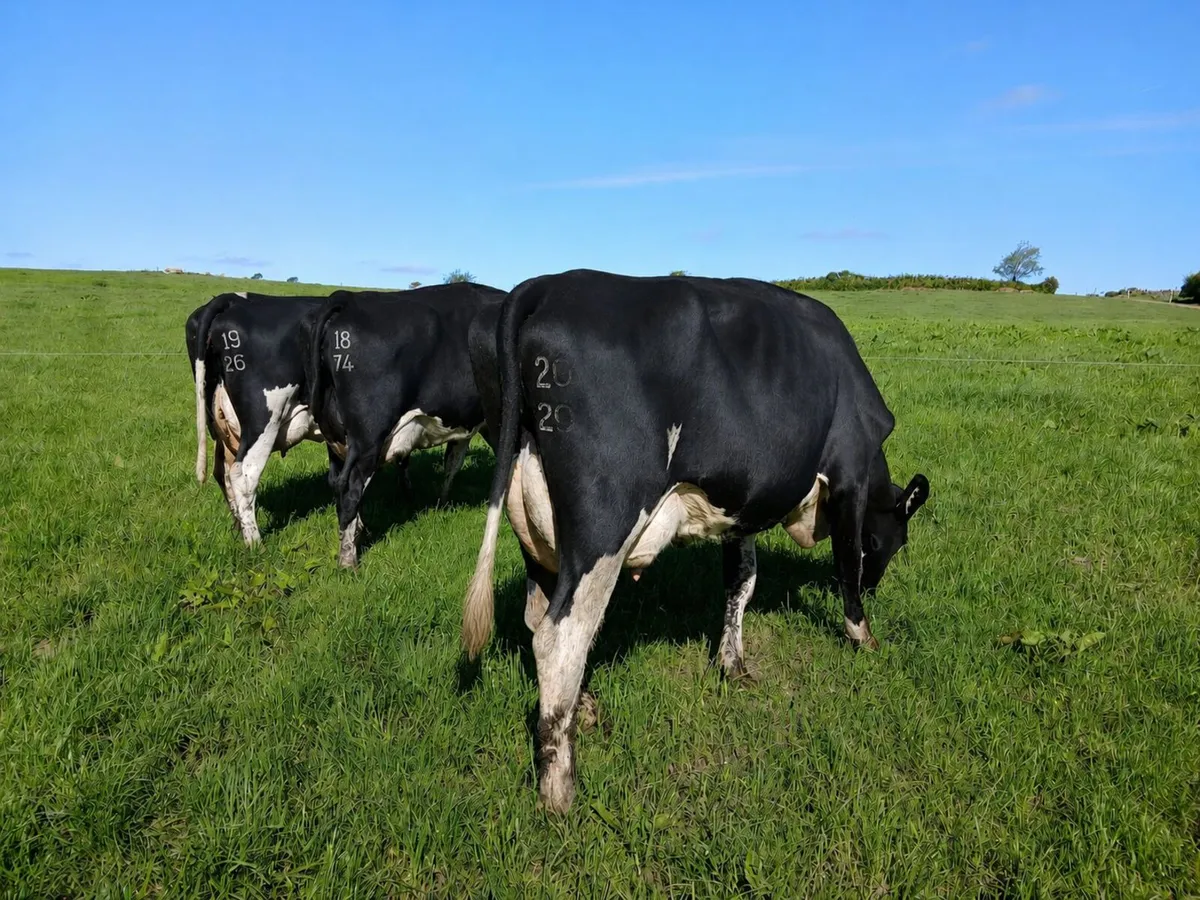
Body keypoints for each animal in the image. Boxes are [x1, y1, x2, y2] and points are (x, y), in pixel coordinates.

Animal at [186, 291, 329, 544]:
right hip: (263, 421)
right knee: (243, 475)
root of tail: (230, 299)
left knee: (222, 472)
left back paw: (238, 529)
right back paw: (254, 542)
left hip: (221, 426)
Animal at [306, 282, 506, 568]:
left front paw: (442, 503)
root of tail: (349, 299)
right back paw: (348, 560)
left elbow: (453, 462)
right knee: (351, 488)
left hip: (334, 434)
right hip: (369, 436)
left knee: (336, 482)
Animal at [461, 269, 930, 813]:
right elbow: (845, 566)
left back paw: (584, 707)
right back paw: (560, 790)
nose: (878, 586)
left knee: (538, 617)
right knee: (561, 636)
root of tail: (545, 284)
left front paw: (733, 663)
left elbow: (741, 583)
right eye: (887, 542)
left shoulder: (743, 507)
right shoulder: (849, 471)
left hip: (534, 519)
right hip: (605, 515)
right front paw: (863, 637)